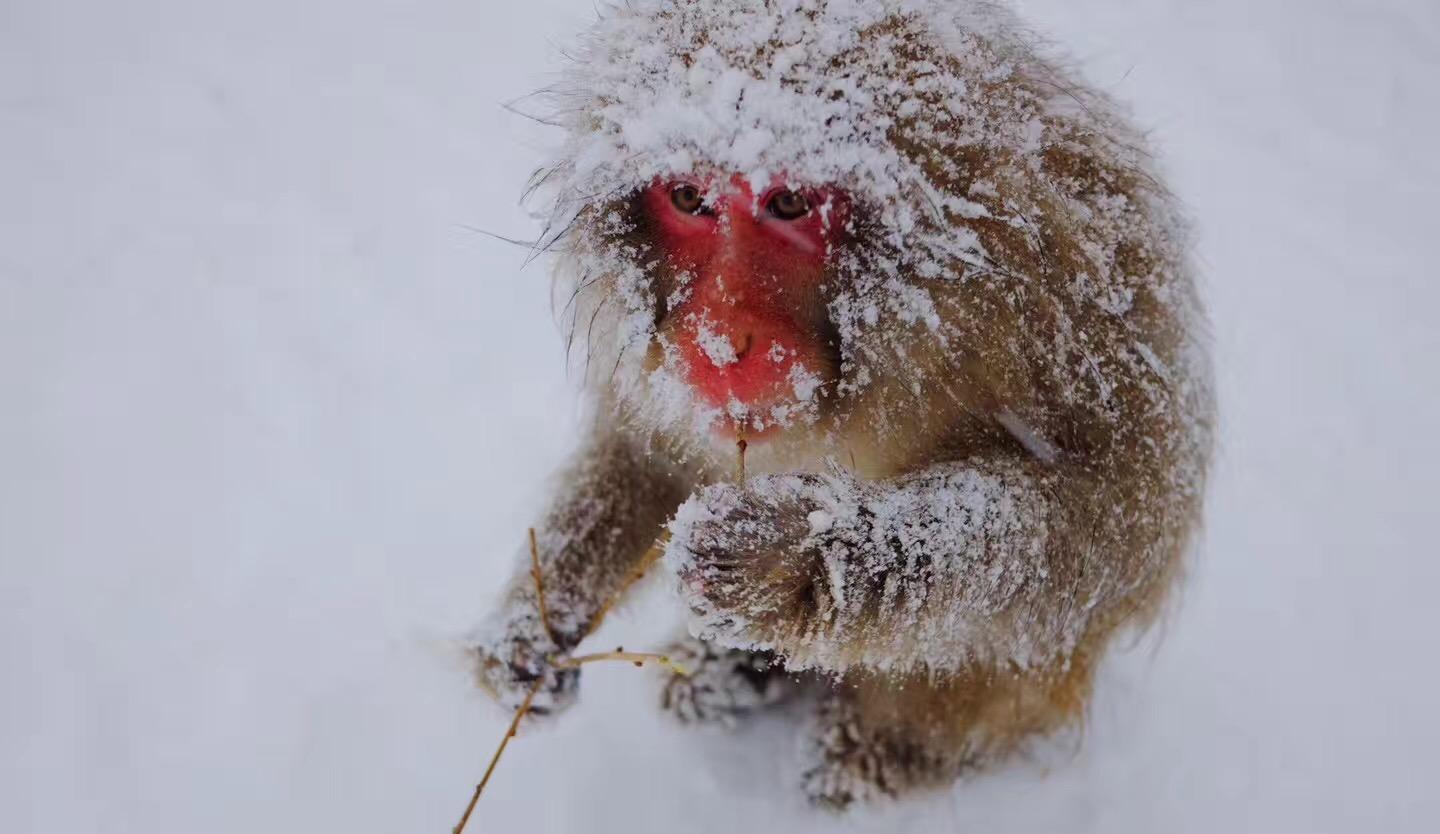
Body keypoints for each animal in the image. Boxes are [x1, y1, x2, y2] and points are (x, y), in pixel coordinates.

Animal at [472, 0, 1215, 806]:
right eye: (690, 200)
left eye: (788, 203)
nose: (720, 340)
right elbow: (648, 449)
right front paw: (537, 621)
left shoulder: (1069, 292)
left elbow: (1098, 527)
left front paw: (793, 560)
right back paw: (731, 673)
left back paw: (885, 753)